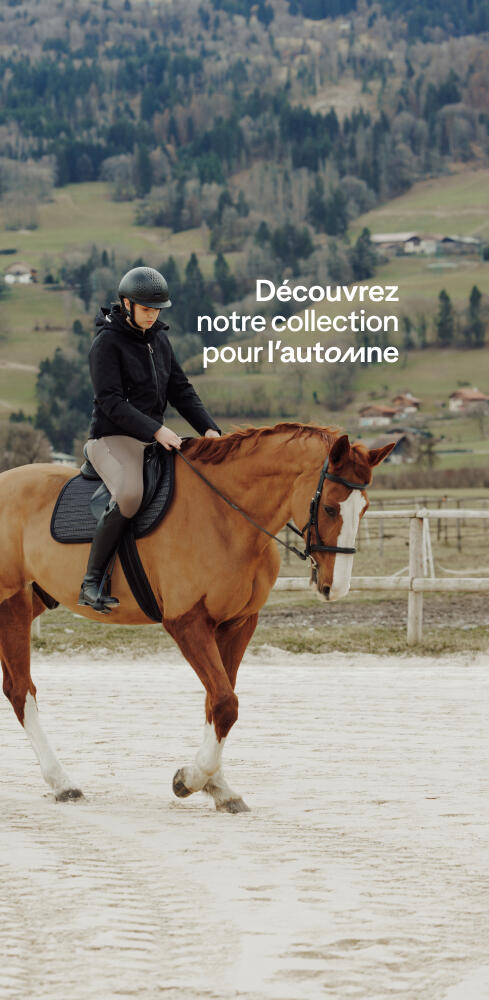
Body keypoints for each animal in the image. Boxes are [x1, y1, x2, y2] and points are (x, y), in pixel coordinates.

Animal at [0, 422, 394, 812]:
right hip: (13, 604)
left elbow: (217, 701)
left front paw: (218, 787)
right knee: (21, 691)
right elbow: (225, 703)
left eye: (364, 509)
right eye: (329, 508)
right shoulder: (187, 623)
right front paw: (189, 780)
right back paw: (63, 783)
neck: (227, 516)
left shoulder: (238, 623)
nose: (335, 588)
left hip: (34, 599)